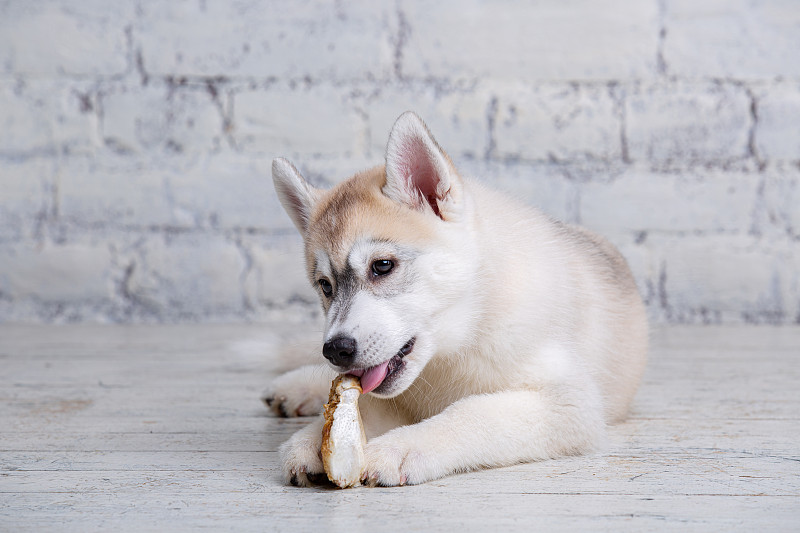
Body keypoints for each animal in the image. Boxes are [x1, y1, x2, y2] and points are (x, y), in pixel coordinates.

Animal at [266, 110, 648, 484]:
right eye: (325, 286)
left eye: (382, 266)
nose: (335, 350)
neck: (463, 333)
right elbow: (364, 402)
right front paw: (316, 436)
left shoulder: (570, 404)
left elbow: (473, 412)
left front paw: (402, 447)